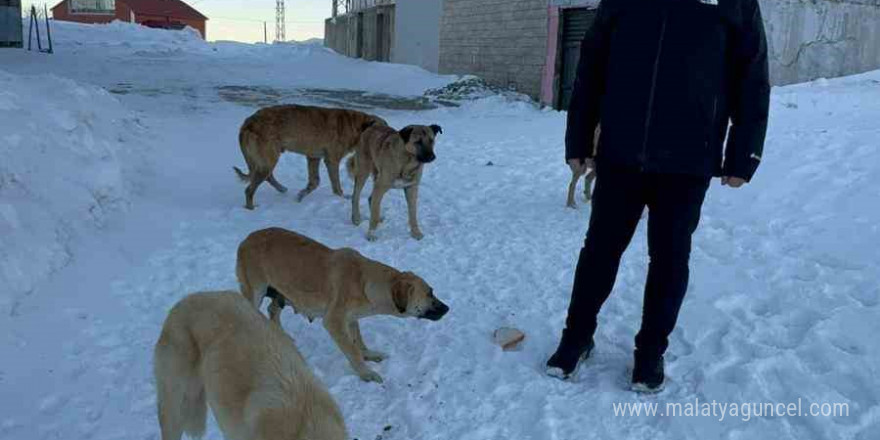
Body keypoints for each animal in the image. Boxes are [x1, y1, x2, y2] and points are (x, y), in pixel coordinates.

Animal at [232, 105, 386, 211]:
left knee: (267, 177)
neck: (356, 126)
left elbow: (314, 182)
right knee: (249, 190)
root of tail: (247, 124)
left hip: (266, 160)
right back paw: (251, 208)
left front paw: (301, 195)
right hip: (269, 160)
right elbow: (336, 185)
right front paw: (342, 198)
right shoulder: (332, 160)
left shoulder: (313, 157)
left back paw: (282, 189)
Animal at [237, 229, 450, 384]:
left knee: (272, 311)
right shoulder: (334, 322)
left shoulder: (351, 319)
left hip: (282, 293)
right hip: (255, 292)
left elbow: (358, 341)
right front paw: (365, 373)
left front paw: (368, 354)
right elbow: (352, 350)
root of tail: (246, 240)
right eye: (429, 293)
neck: (365, 282)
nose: (448, 308)